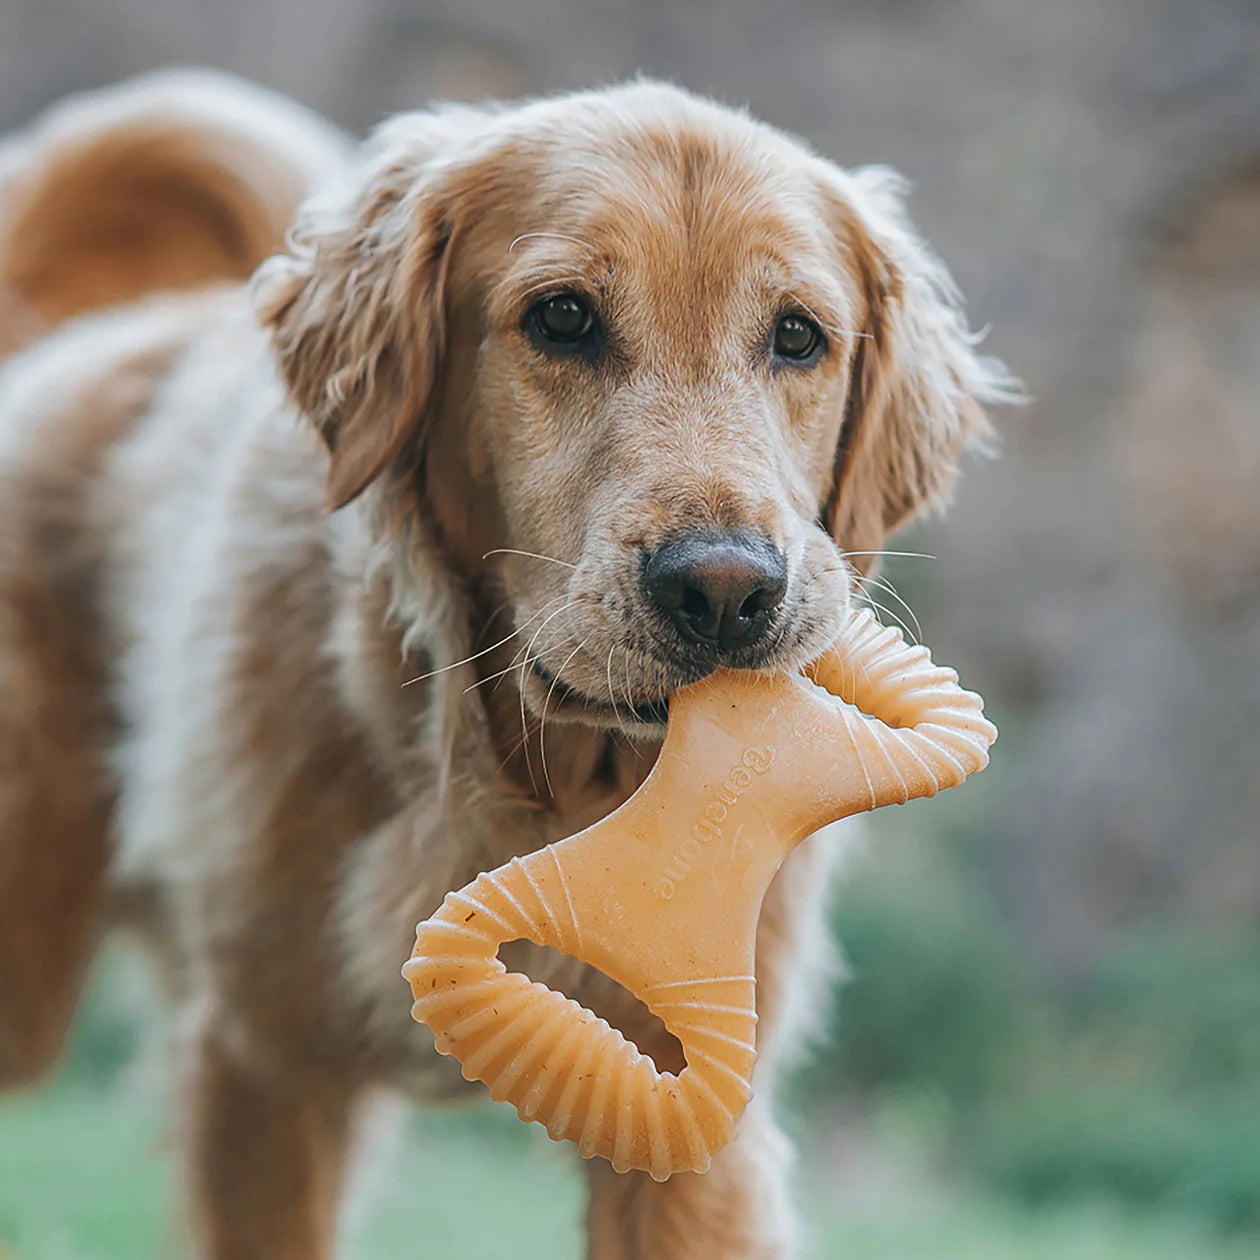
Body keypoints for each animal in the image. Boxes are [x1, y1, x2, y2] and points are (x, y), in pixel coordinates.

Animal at [0, 71, 1013, 1260]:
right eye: (562, 317)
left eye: (799, 337)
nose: (726, 593)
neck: (533, 781)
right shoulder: (264, 1071)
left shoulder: (700, 1128)